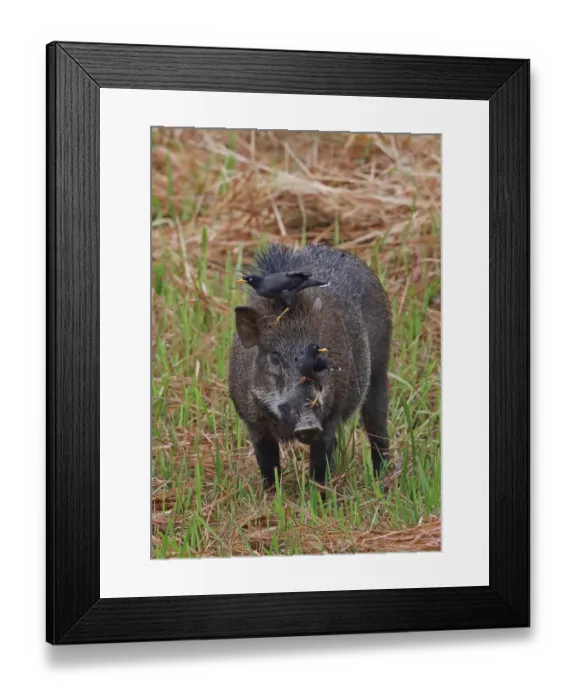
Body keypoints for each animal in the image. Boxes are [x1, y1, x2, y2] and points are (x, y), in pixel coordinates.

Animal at [228, 243, 392, 489]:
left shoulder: (331, 415)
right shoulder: (253, 422)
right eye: (274, 357)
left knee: (377, 429)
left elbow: (320, 465)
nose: (308, 424)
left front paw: (321, 496)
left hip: (380, 370)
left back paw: (382, 480)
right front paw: (271, 494)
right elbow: (267, 465)